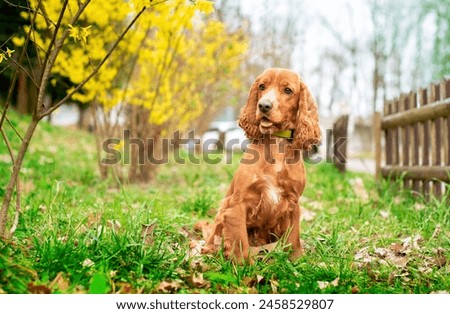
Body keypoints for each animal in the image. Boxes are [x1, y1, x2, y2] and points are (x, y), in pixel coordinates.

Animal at [203, 68, 320, 262]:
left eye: (288, 90)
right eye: (262, 86)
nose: (264, 106)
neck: (276, 143)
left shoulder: (293, 203)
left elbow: (293, 238)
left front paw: (296, 262)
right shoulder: (237, 203)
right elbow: (239, 240)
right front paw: (242, 266)